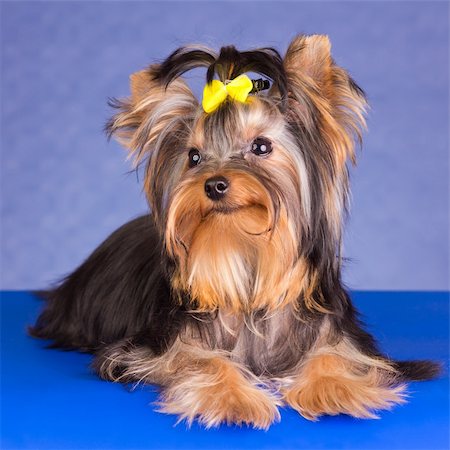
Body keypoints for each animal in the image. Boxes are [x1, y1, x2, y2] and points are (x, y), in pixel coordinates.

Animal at [30, 35, 440, 428]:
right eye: (194, 156)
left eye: (261, 146)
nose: (213, 184)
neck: (248, 260)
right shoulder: (156, 347)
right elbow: (202, 358)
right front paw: (234, 398)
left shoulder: (338, 335)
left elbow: (333, 355)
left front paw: (334, 389)